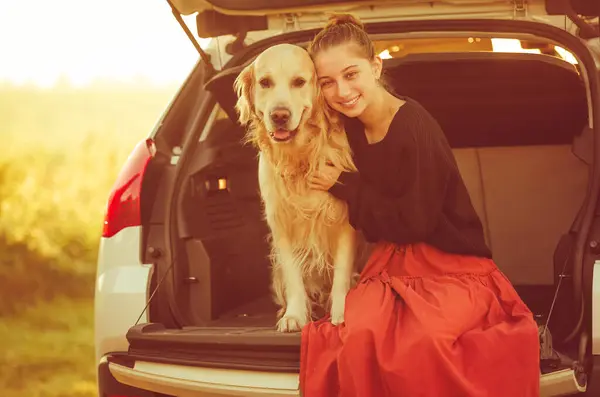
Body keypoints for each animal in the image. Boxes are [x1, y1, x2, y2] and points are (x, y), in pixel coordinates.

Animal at [233, 43, 356, 332]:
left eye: (299, 82)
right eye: (265, 82)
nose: (279, 115)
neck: (300, 157)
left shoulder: (344, 220)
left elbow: (342, 273)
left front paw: (341, 311)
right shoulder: (281, 224)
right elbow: (293, 276)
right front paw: (295, 315)